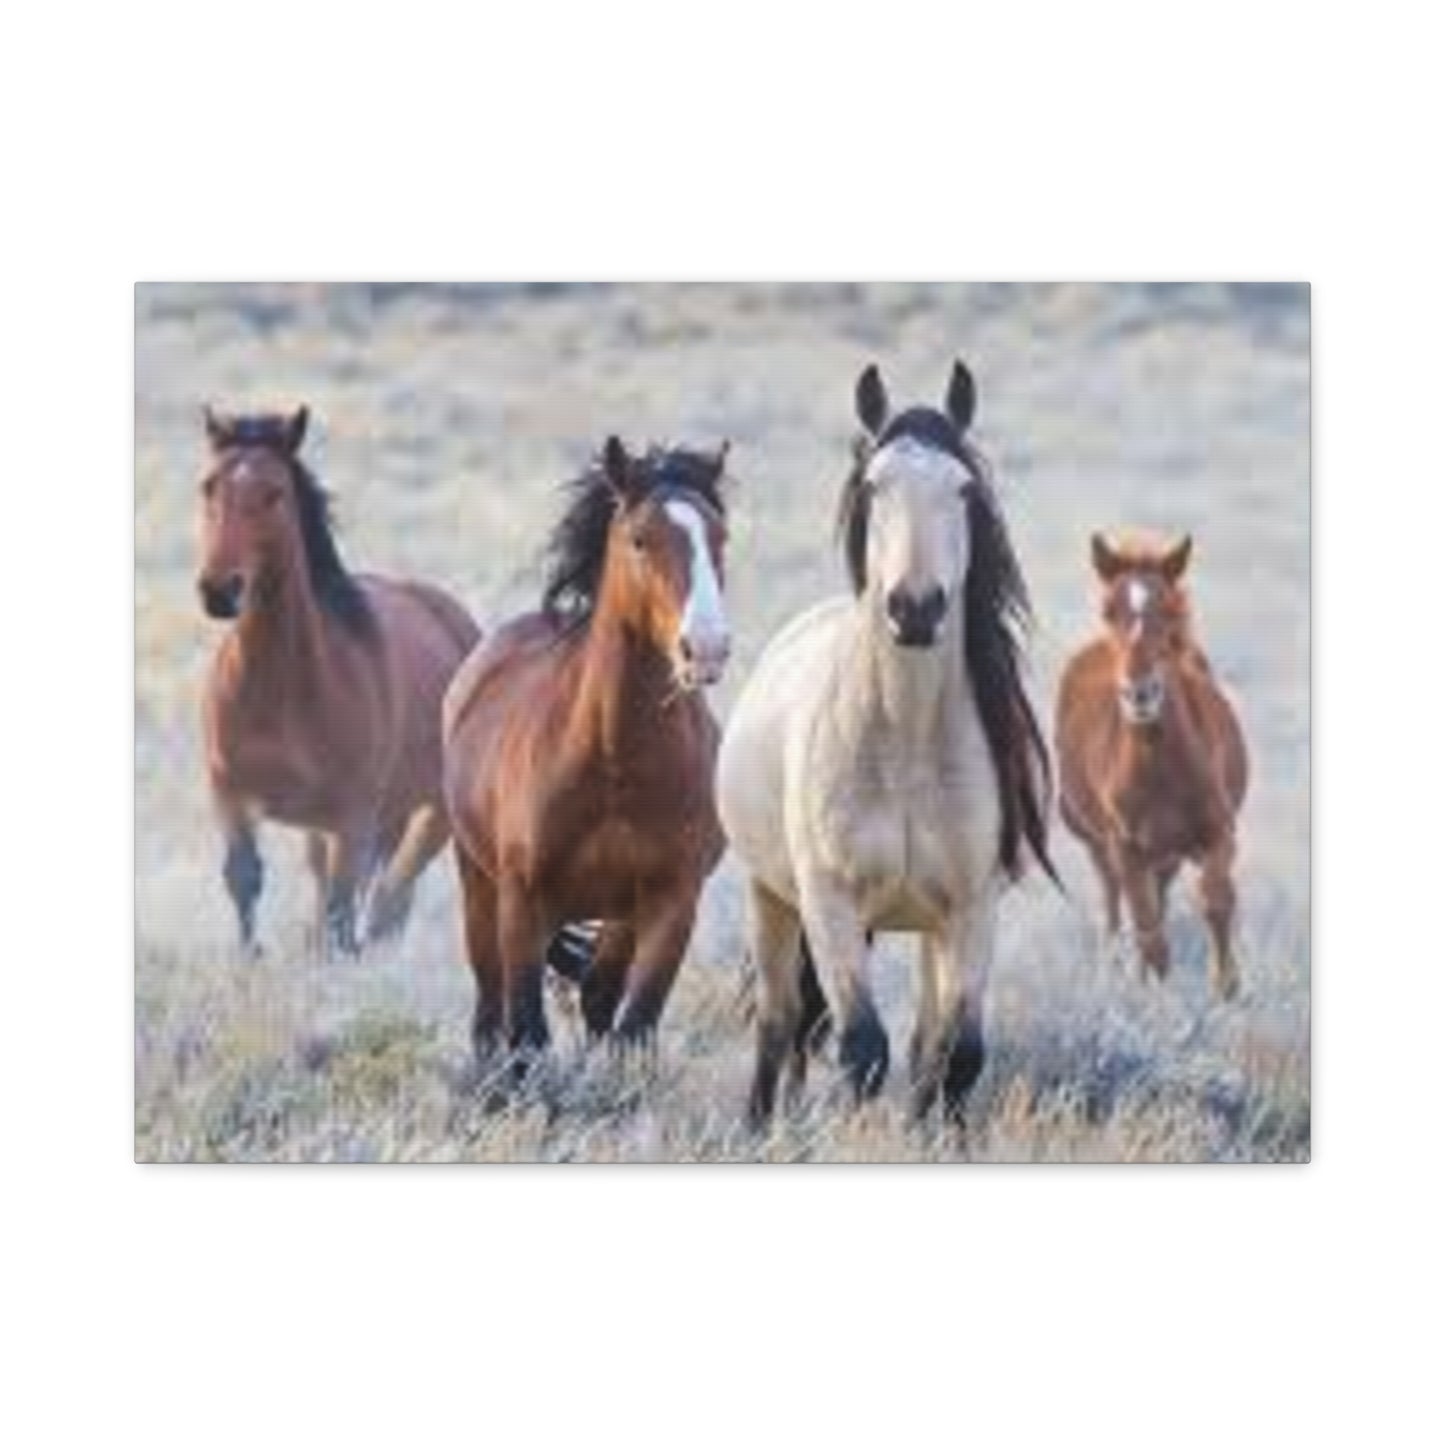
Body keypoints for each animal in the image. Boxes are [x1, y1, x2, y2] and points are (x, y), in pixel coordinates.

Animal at [195, 406, 480, 956]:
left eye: (274, 492)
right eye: (208, 487)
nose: (220, 591)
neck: (278, 692)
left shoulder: (352, 817)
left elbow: (342, 908)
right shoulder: (231, 795)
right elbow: (244, 879)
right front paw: (250, 959)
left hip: (429, 812)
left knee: (390, 899)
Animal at [443, 435, 732, 1063]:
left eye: (721, 537)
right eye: (640, 539)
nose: (706, 648)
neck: (614, 763)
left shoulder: (672, 902)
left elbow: (634, 1026)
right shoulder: (523, 902)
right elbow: (526, 1033)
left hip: (620, 919)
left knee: (600, 994)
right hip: (479, 885)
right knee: (489, 1007)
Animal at [717, 361, 1055, 1128]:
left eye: (963, 489)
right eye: (874, 485)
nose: (915, 608)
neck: (904, 745)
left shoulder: (971, 909)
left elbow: (955, 1056)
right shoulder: (830, 904)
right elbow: (861, 1048)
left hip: (929, 930)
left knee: (924, 1038)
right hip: (769, 898)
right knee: (780, 1022)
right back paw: (760, 1127)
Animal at [1055, 532, 1248, 999]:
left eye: (1170, 610)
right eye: (1108, 610)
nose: (1139, 693)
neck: (1161, 769)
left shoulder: (1218, 831)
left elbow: (1216, 898)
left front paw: (1228, 990)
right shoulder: (1126, 847)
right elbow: (1147, 929)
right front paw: (1160, 1001)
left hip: (1167, 854)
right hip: (1100, 844)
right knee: (1115, 906)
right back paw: (1114, 970)